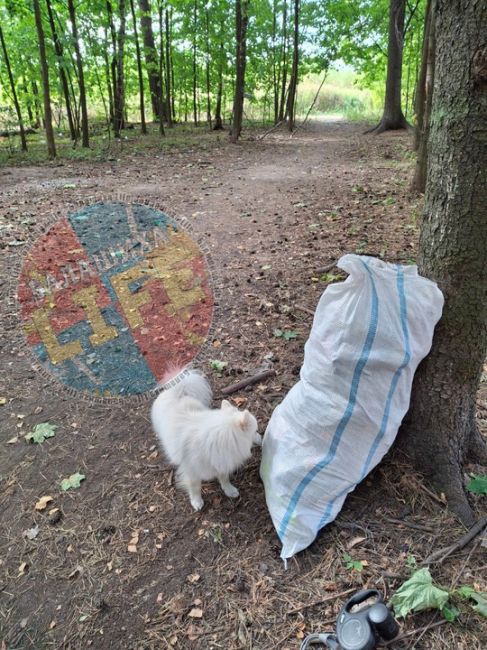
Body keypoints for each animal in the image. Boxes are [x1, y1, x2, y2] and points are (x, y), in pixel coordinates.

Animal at [152, 368, 262, 508]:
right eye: (255, 431)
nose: (262, 436)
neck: (220, 440)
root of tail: (177, 392)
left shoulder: (220, 462)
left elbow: (224, 478)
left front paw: (229, 490)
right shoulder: (192, 472)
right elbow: (195, 487)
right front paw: (196, 501)